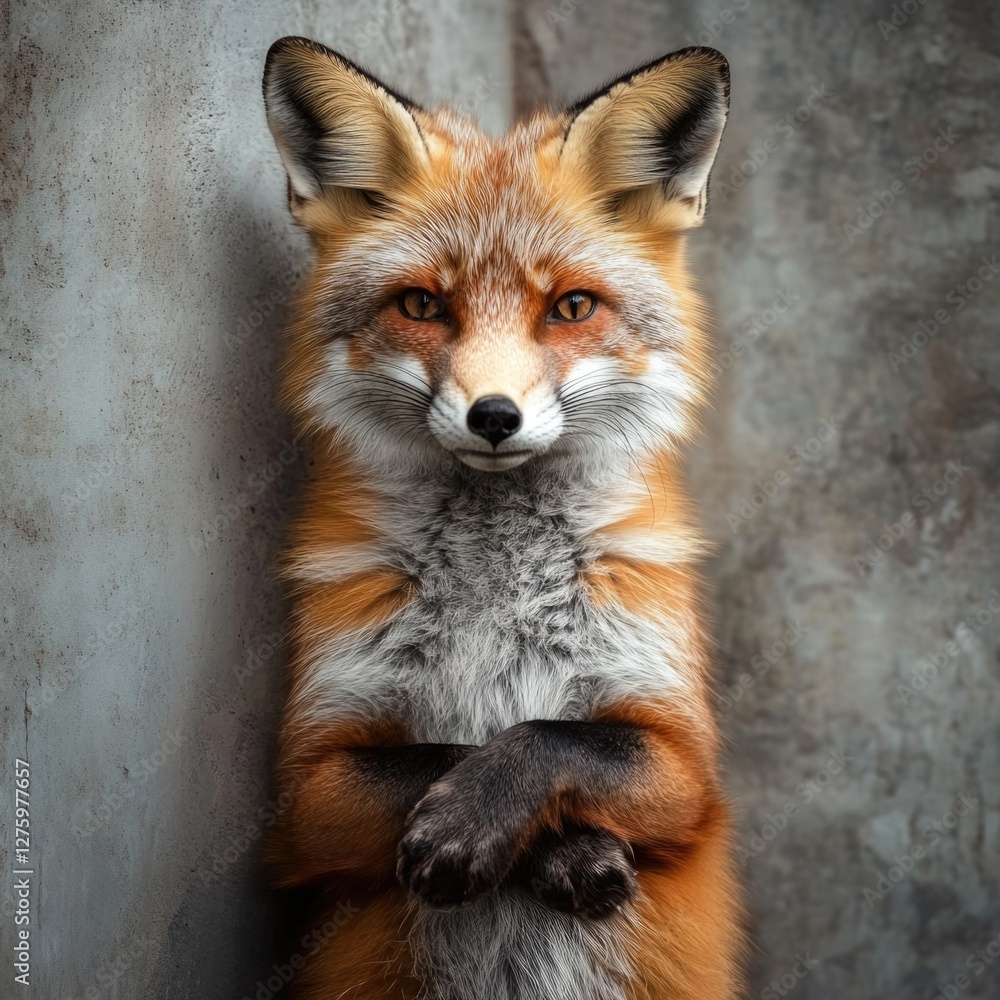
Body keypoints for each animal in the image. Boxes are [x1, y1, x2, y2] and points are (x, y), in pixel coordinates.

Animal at [260, 34, 744, 1000]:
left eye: (571, 307)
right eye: (421, 304)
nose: (493, 416)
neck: (494, 594)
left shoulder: (686, 769)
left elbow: (549, 738)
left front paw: (499, 826)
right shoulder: (308, 789)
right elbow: (448, 752)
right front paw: (543, 847)